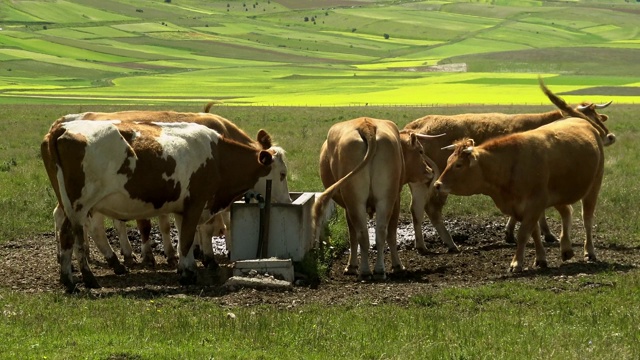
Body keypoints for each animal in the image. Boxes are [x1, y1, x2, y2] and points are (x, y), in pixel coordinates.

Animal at [43, 119, 274, 292]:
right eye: (278, 172)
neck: (217, 157)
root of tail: (63, 128)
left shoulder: (183, 209)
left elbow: (185, 238)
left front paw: (186, 268)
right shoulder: (196, 204)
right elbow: (187, 239)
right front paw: (188, 275)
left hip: (69, 206)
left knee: (69, 234)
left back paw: (69, 279)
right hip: (80, 205)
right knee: (75, 236)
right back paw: (87, 278)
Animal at [312, 116, 438, 280]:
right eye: (420, 151)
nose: (430, 171)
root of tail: (367, 125)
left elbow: (355, 235)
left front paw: (352, 266)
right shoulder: (394, 200)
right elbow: (386, 234)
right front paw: (397, 266)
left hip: (359, 201)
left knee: (367, 233)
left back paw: (369, 271)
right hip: (380, 200)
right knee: (378, 232)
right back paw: (376, 270)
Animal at [404, 84, 616, 253]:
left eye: (598, 117)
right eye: (586, 117)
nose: (609, 136)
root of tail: (415, 127)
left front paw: (512, 232)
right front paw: (544, 234)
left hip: (421, 181)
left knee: (416, 210)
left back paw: (421, 246)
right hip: (438, 182)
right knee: (432, 208)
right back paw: (450, 244)